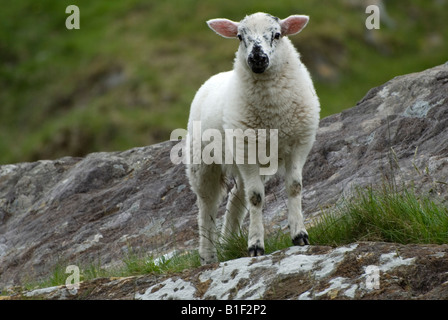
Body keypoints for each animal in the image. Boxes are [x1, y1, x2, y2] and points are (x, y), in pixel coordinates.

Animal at [187, 11, 320, 264]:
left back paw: (228, 241)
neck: (273, 114)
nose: (257, 59)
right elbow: (257, 197)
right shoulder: (247, 149)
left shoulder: (298, 145)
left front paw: (300, 235)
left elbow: (294, 187)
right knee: (207, 206)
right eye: (240, 36)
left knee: (236, 197)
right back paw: (208, 255)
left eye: (277, 34)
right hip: (203, 162)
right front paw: (255, 246)